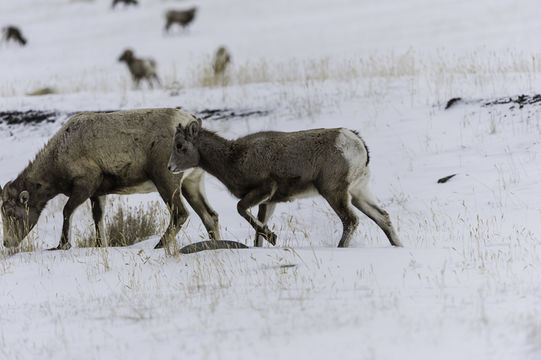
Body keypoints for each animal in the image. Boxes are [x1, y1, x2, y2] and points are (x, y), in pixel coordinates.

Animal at [0, 108, 219, 252]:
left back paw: (159, 245)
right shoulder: (98, 192)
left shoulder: (86, 183)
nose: (7, 243)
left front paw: (62, 245)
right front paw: (99, 245)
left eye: (13, 215)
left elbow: (67, 211)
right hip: (192, 183)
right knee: (210, 215)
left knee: (181, 213)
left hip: (165, 179)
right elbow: (98, 218)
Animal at [169, 122, 400, 249]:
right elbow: (257, 234)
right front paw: (268, 238)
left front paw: (272, 237)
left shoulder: (264, 189)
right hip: (358, 192)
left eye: (180, 146)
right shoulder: (268, 202)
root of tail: (357, 144)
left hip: (333, 191)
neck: (233, 159)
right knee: (383, 217)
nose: (170, 167)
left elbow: (241, 209)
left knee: (350, 220)